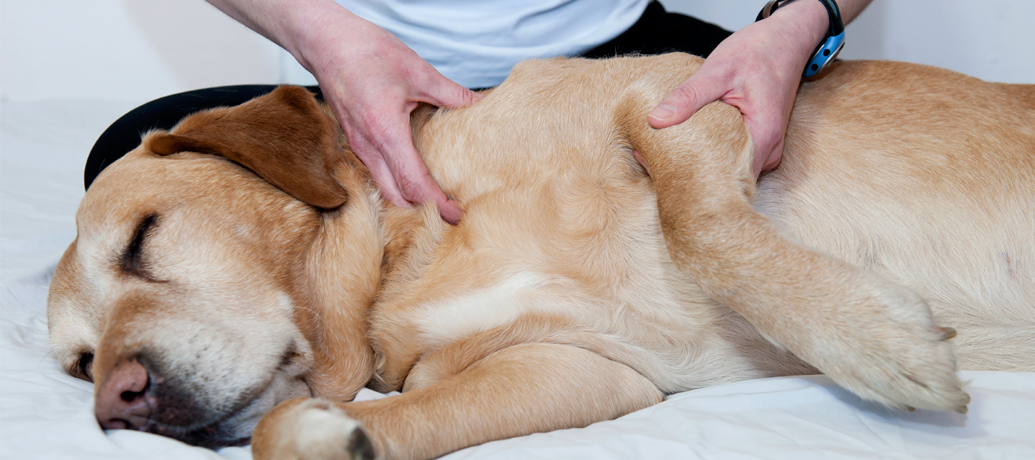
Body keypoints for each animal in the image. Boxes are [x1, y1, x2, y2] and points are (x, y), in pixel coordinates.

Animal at [48, 54, 1035, 460]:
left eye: (143, 236)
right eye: (78, 365)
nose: (117, 404)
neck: (410, 258)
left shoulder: (675, 95)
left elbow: (702, 227)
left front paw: (876, 345)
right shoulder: (578, 370)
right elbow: (313, 427)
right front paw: (335, 436)